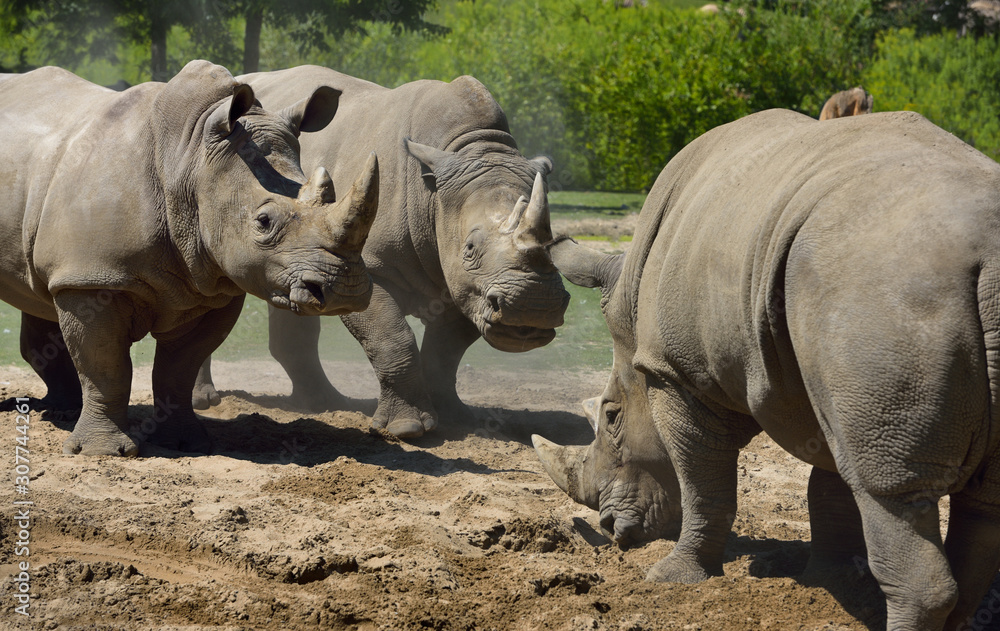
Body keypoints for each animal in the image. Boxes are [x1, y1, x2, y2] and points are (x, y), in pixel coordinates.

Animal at [0, 61, 379, 456]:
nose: (345, 291)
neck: (190, 158)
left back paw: (61, 411)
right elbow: (105, 367)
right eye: (263, 222)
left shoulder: (210, 287)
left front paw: (187, 442)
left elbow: (178, 369)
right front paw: (103, 452)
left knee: (39, 293)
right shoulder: (91, 277)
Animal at [194, 66, 569, 438]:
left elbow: (446, 352)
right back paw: (206, 402)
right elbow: (392, 338)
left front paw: (456, 417)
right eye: (471, 248)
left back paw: (325, 404)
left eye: (554, 243)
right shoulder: (365, 268)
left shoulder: (465, 285)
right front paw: (407, 429)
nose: (532, 308)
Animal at [533, 109, 1000, 630]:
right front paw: (826, 581)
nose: (611, 529)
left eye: (611, 416)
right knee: (982, 505)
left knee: (890, 490)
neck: (631, 299)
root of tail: (988, 255)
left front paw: (673, 577)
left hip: (887, 297)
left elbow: (702, 480)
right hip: (874, 305)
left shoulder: (678, 374)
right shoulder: (823, 382)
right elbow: (828, 481)